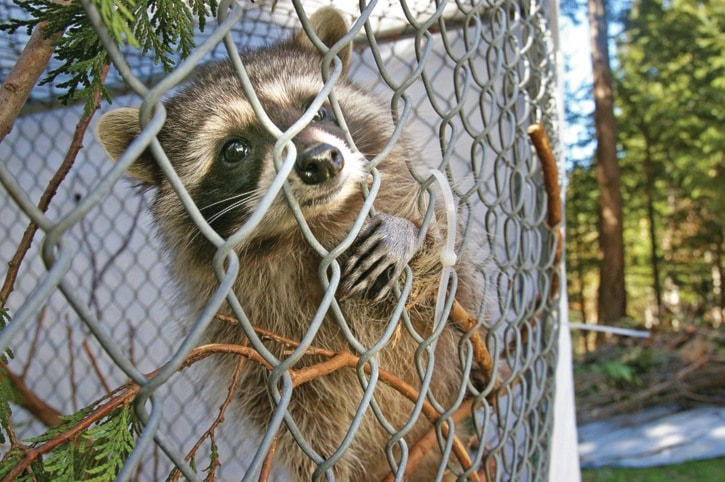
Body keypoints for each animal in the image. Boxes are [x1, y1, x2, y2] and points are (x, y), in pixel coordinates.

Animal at [94, 7, 480, 482]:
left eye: (319, 112)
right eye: (235, 149)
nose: (321, 161)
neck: (306, 230)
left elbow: (451, 285)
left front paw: (406, 236)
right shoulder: (247, 337)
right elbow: (295, 409)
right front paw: (325, 463)